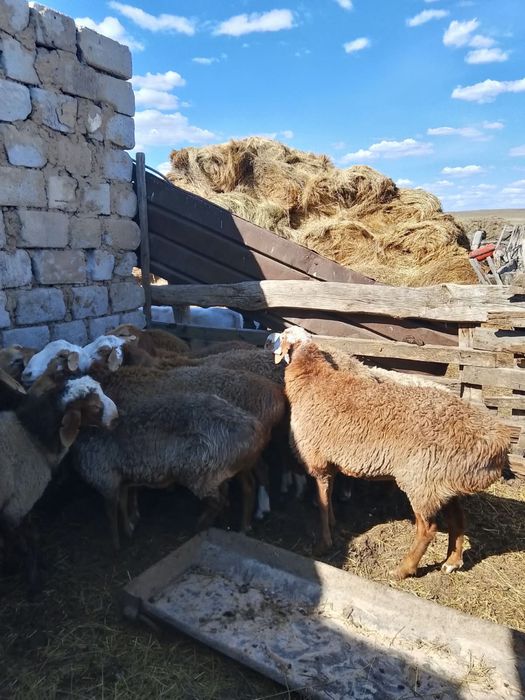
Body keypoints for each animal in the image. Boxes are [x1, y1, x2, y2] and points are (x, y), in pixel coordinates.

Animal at [0, 355, 118, 594]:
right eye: (93, 407)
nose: (117, 417)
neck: (30, 435)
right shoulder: (19, 502)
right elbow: (30, 536)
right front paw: (33, 578)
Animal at [268, 327, 512, 579]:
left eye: (282, 336)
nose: (268, 343)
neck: (315, 378)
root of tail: (496, 441)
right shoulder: (329, 461)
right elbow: (329, 497)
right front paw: (334, 523)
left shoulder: (317, 460)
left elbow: (322, 503)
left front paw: (323, 543)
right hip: (442, 482)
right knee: (457, 518)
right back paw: (451, 562)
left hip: (421, 481)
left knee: (428, 529)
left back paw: (403, 569)